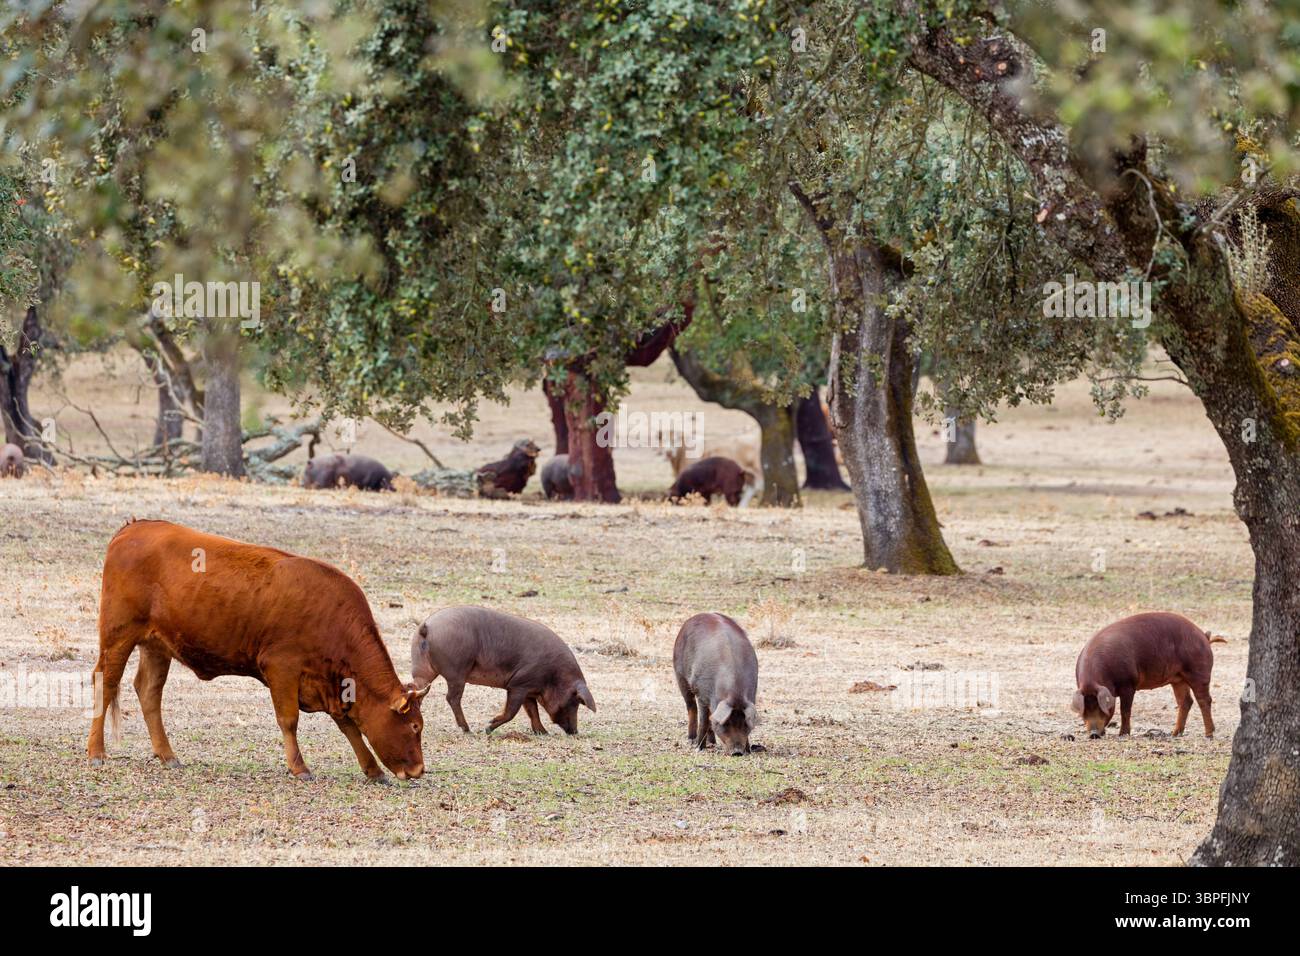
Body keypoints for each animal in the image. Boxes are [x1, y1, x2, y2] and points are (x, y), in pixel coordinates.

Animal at [88, 520, 429, 780]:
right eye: (414, 726)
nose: (419, 770)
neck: (331, 617)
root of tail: (134, 527)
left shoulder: (333, 684)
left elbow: (349, 727)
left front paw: (373, 770)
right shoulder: (282, 669)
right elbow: (289, 720)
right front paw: (299, 767)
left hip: (157, 646)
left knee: (149, 691)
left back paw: (167, 754)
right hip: (118, 637)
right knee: (105, 684)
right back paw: (96, 751)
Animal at [411, 606, 596, 735]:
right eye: (575, 701)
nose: (575, 731)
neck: (555, 676)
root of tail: (427, 626)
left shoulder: (528, 689)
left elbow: (532, 711)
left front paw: (543, 733)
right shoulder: (518, 685)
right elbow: (512, 711)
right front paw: (488, 727)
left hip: (422, 668)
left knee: (416, 689)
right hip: (456, 672)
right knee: (452, 698)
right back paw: (468, 729)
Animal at [673, 612, 759, 755]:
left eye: (744, 724)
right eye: (726, 724)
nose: (737, 752)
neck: (734, 693)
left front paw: (748, 750)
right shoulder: (701, 694)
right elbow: (703, 720)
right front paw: (699, 748)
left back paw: (712, 743)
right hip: (680, 676)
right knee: (691, 708)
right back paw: (692, 740)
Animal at [1072, 611, 1225, 739]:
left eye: (1100, 707)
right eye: (1084, 710)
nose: (1093, 734)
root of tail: (1203, 636)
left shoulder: (1129, 684)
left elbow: (1125, 710)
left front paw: (1123, 734)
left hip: (1199, 672)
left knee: (1204, 700)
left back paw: (1208, 735)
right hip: (1178, 679)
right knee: (1186, 701)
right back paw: (1174, 734)